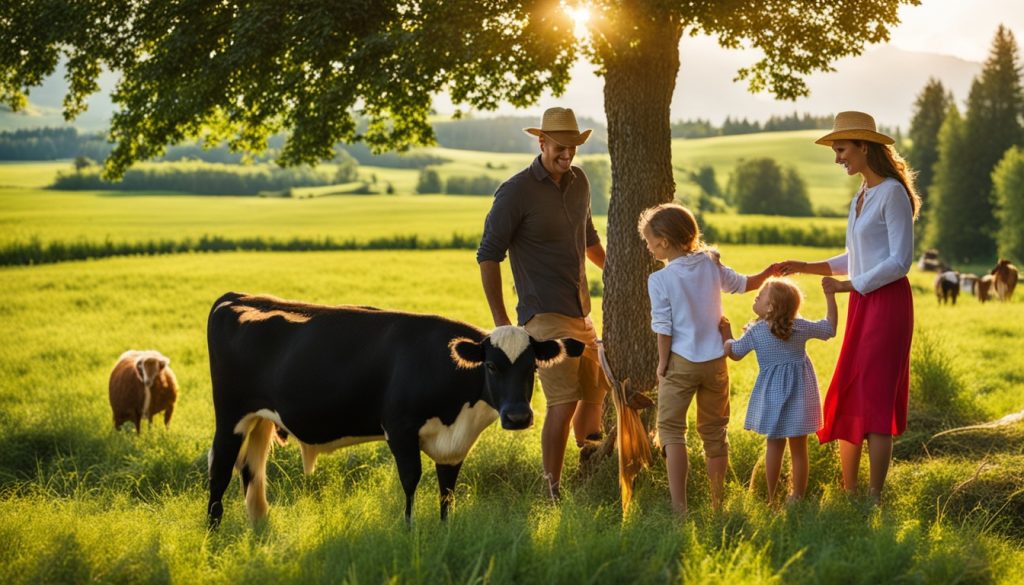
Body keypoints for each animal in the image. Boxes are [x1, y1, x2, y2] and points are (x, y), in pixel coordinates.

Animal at [203, 293, 585, 524]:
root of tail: (238, 298)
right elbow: (411, 480)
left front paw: (445, 529)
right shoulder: (400, 429)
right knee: (220, 468)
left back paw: (259, 528)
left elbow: (447, 490)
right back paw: (213, 530)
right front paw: (409, 528)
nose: (519, 417)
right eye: (491, 366)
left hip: (259, 419)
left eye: (532, 368)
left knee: (252, 469)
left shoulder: (454, 443)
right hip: (231, 416)